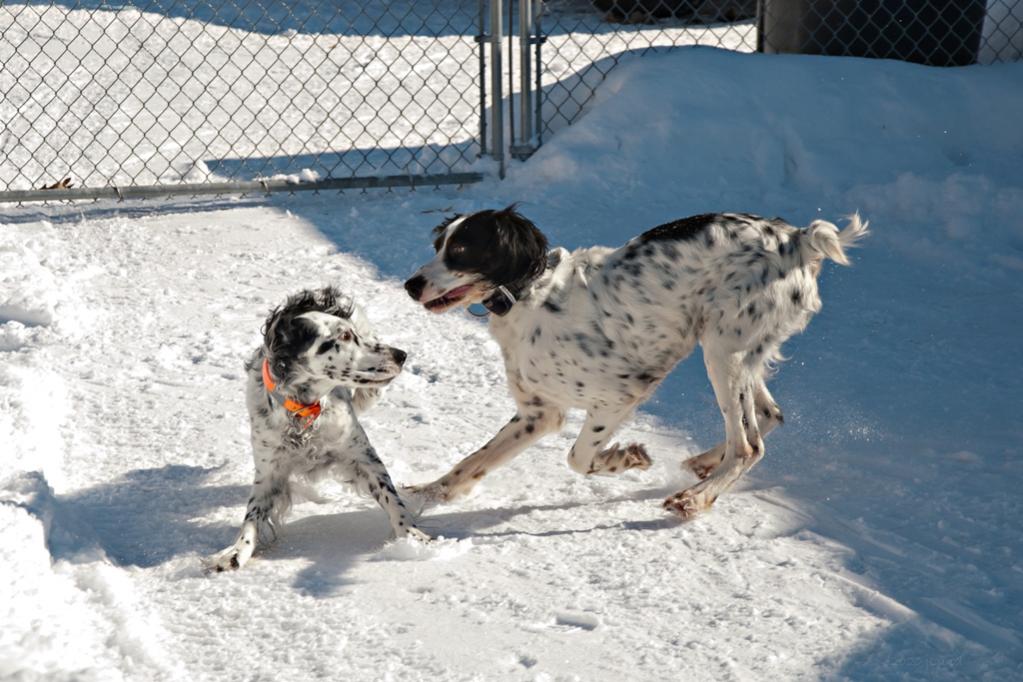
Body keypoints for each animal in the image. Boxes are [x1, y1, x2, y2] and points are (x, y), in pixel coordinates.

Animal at [205, 286, 429, 572]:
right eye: (344, 336)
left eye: (351, 332)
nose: (401, 355)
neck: (303, 412)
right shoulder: (269, 471)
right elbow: (252, 516)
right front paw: (235, 552)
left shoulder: (361, 454)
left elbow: (391, 498)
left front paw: (413, 536)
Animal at [403, 205, 867, 519]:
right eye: (438, 245)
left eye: (461, 249)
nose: (410, 285)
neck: (531, 296)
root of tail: (798, 239)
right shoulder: (539, 412)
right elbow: (472, 461)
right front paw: (424, 494)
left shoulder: (620, 394)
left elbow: (578, 458)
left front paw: (627, 457)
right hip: (737, 349)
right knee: (770, 415)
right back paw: (704, 464)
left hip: (723, 351)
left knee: (749, 444)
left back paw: (695, 498)